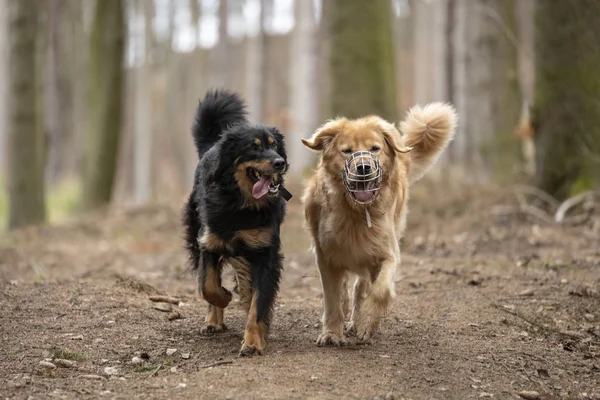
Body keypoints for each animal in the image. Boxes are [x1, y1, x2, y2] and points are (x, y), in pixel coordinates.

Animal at [183, 90, 290, 356]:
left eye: (275, 146)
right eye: (254, 148)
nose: (280, 162)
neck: (241, 204)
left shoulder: (265, 254)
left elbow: (258, 304)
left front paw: (253, 342)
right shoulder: (209, 241)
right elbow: (208, 286)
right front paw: (223, 297)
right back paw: (213, 321)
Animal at [302, 103, 458, 344]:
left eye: (374, 148)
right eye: (347, 151)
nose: (364, 167)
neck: (357, 212)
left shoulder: (387, 253)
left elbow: (381, 290)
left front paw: (366, 323)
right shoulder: (326, 257)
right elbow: (333, 299)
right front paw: (331, 334)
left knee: (361, 286)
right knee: (346, 289)